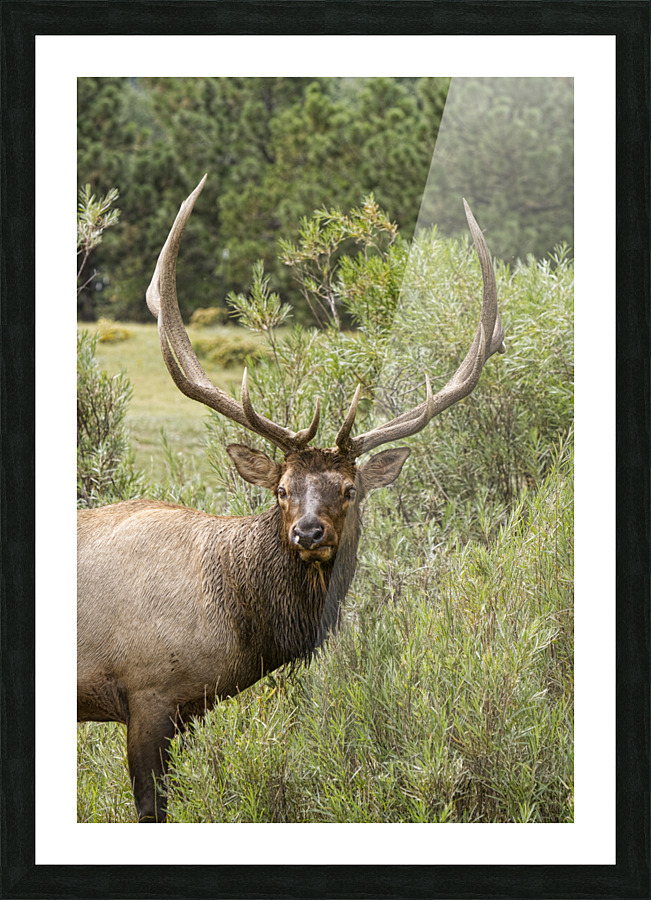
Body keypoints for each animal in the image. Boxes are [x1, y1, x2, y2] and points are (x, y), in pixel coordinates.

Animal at [77, 176, 505, 822]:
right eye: (281, 489)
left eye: (349, 489)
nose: (308, 532)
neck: (233, 628)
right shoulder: (146, 692)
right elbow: (150, 810)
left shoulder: (183, 710)